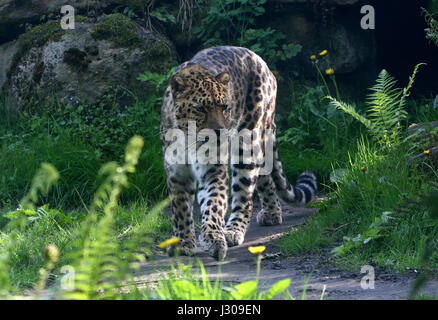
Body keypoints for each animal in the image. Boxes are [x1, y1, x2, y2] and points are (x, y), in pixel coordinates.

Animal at [159, 45, 316, 260]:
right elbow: (180, 208)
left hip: (249, 142)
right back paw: (271, 213)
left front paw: (213, 239)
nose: (219, 132)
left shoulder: (212, 170)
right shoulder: (177, 173)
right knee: (265, 177)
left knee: (245, 194)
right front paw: (182, 243)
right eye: (200, 109)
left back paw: (233, 230)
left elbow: (213, 204)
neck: (188, 139)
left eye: (225, 107)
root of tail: (260, 61)